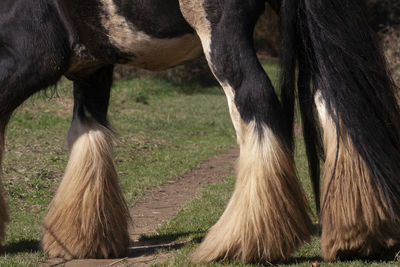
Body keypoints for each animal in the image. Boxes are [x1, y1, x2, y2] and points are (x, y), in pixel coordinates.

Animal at [0, 0, 400, 264]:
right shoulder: (93, 61)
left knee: (255, 98)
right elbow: (87, 130)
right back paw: (355, 234)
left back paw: (243, 239)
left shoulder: (30, 57)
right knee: (331, 97)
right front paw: (81, 237)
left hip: (218, 29)